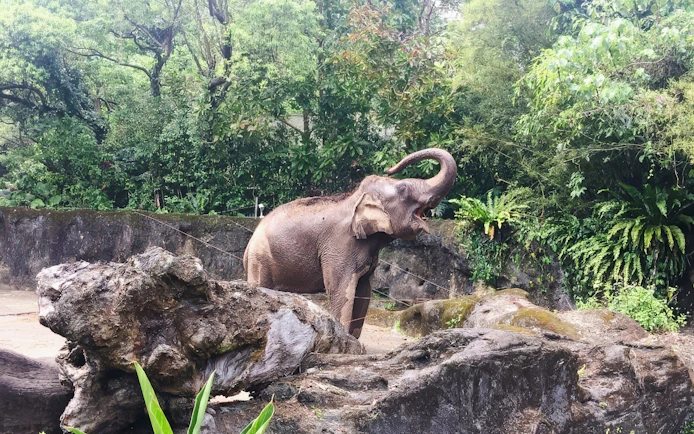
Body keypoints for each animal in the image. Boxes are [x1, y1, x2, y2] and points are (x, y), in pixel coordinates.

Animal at [243, 148, 457, 338]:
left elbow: (363, 292)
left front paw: (354, 342)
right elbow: (341, 290)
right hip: (260, 259)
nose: (389, 168)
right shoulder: (339, 245)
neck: (354, 198)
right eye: (403, 189)